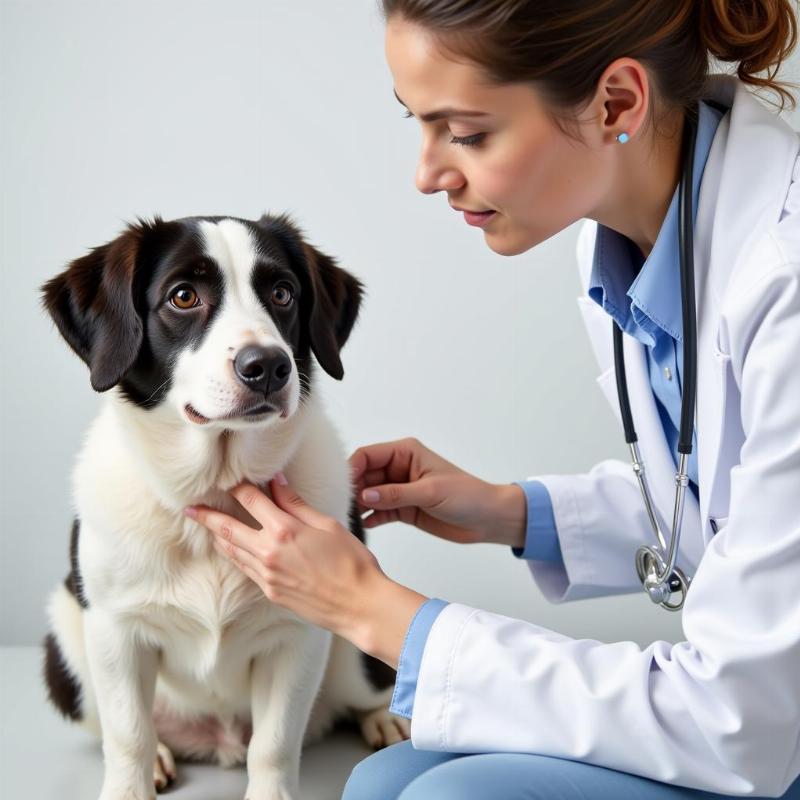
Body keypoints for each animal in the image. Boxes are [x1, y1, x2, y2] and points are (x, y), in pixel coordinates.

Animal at [39, 214, 406, 800]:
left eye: (282, 293)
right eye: (183, 296)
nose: (269, 366)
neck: (216, 491)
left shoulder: (297, 635)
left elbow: (273, 747)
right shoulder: (115, 632)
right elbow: (128, 736)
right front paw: (133, 780)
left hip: (349, 655)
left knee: (365, 689)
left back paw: (385, 719)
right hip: (66, 643)